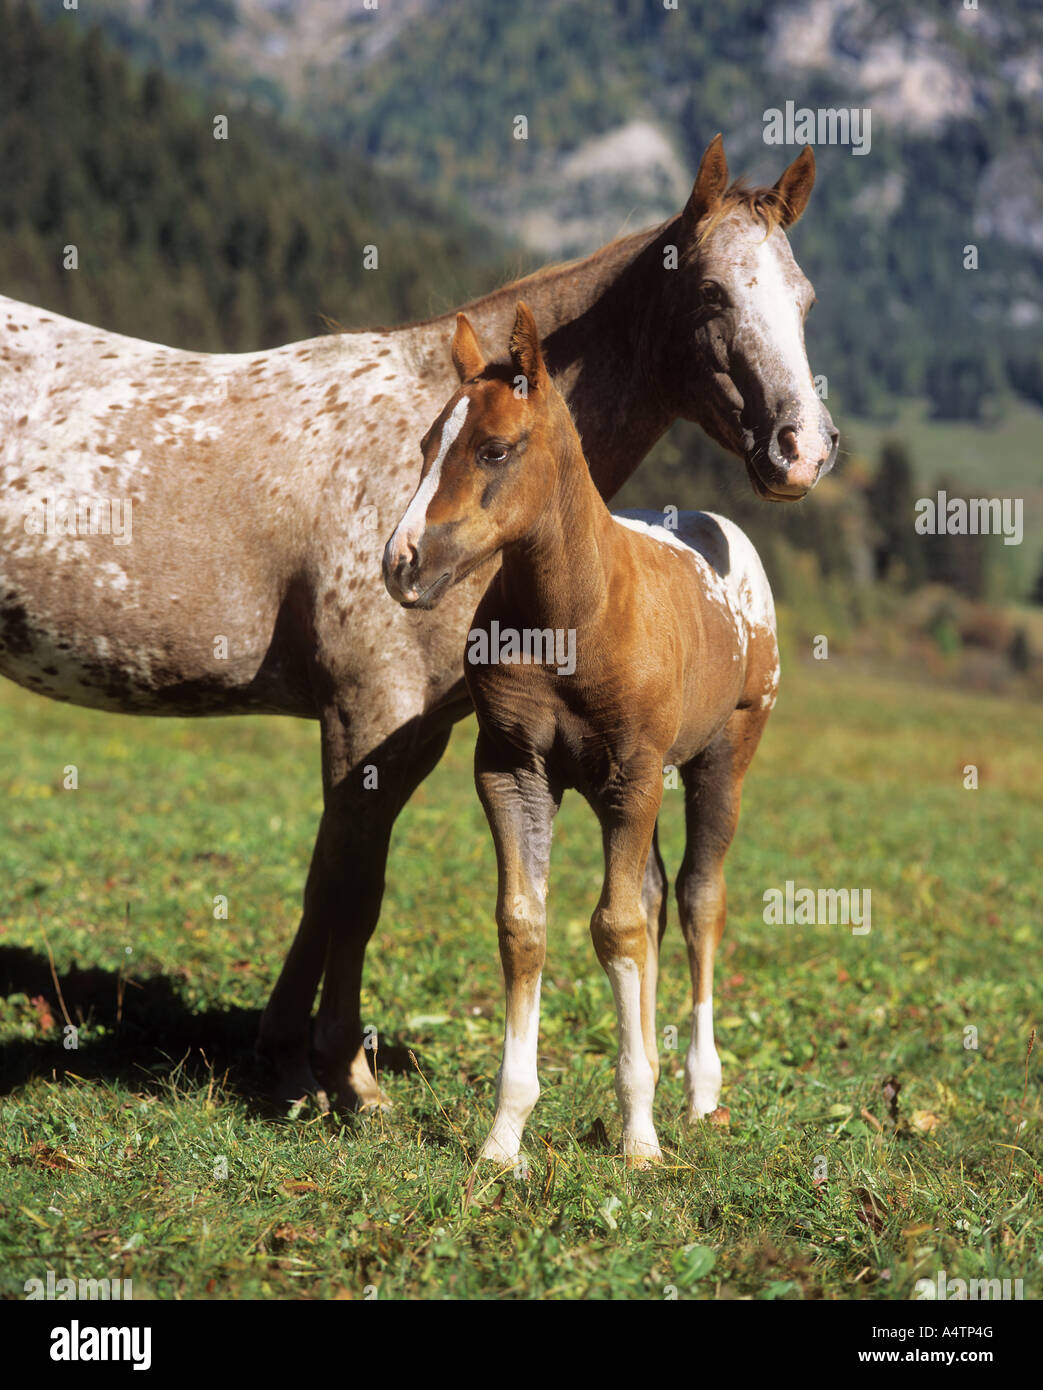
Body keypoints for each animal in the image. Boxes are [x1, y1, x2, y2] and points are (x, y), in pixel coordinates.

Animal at [381, 309, 778, 1167]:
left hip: (720, 758)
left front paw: (639, 1138)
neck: (574, 615)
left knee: (696, 900)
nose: (401, 562)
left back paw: (698, 1094)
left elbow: (615, 925)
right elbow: (524, 924)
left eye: (495, 449)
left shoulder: (632, 773)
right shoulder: (513, 770)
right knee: (656, 894)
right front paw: (504, 1138)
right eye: (426, 445)